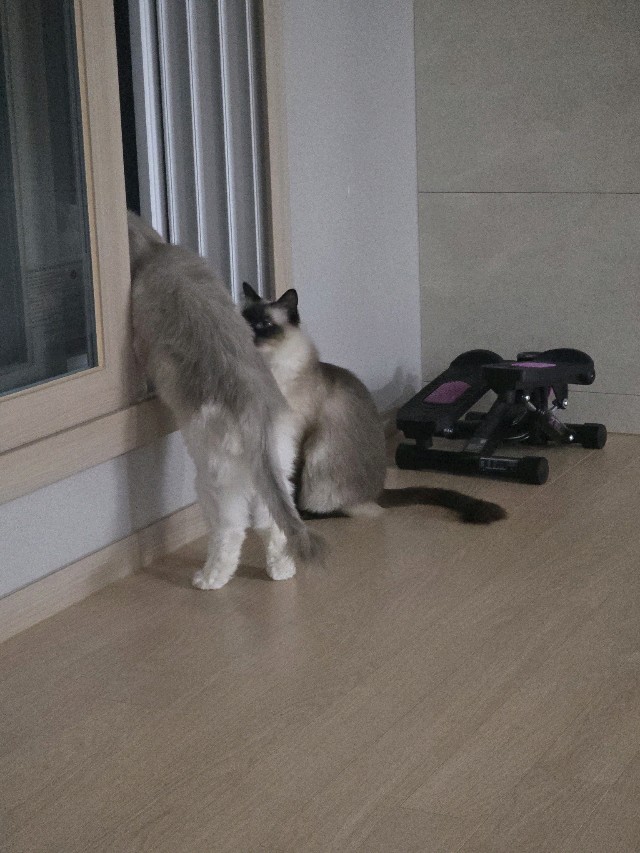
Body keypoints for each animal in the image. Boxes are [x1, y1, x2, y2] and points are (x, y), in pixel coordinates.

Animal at [128, 212, 324, 589]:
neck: (155, 250)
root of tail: (256, 410)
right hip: (276, 469)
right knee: (273, 526)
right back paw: (281, 572)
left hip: (211, 480)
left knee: (231, 531)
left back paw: (209, 579)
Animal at [242, 282, 506, 524]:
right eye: (243, 319)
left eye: (264, 325)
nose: (246, 333)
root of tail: (378, 491)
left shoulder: (291, 436)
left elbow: (289, 482)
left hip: (319, 459)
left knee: (337, 508)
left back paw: (308, 515)